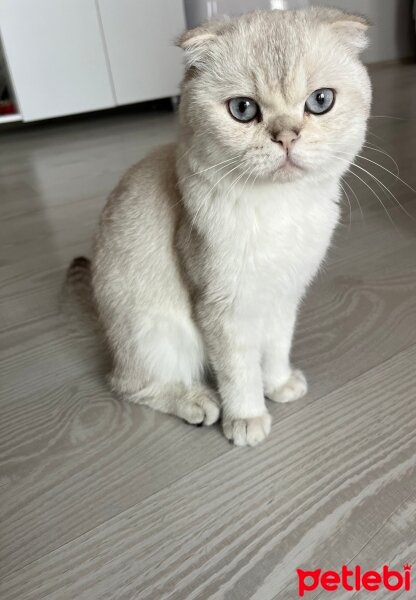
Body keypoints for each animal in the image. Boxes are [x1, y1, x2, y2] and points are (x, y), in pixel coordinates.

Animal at [68, 5, 370, 446]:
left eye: (320, 101)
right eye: (243, 110)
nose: (286, 137)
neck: (283, 210)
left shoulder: (284, 296)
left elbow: (276, 350)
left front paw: (279, 386)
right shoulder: (225, 310)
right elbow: (239, 373)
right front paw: (247, 420)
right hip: (160, 333)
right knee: (129, 384)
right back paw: (198, 402)